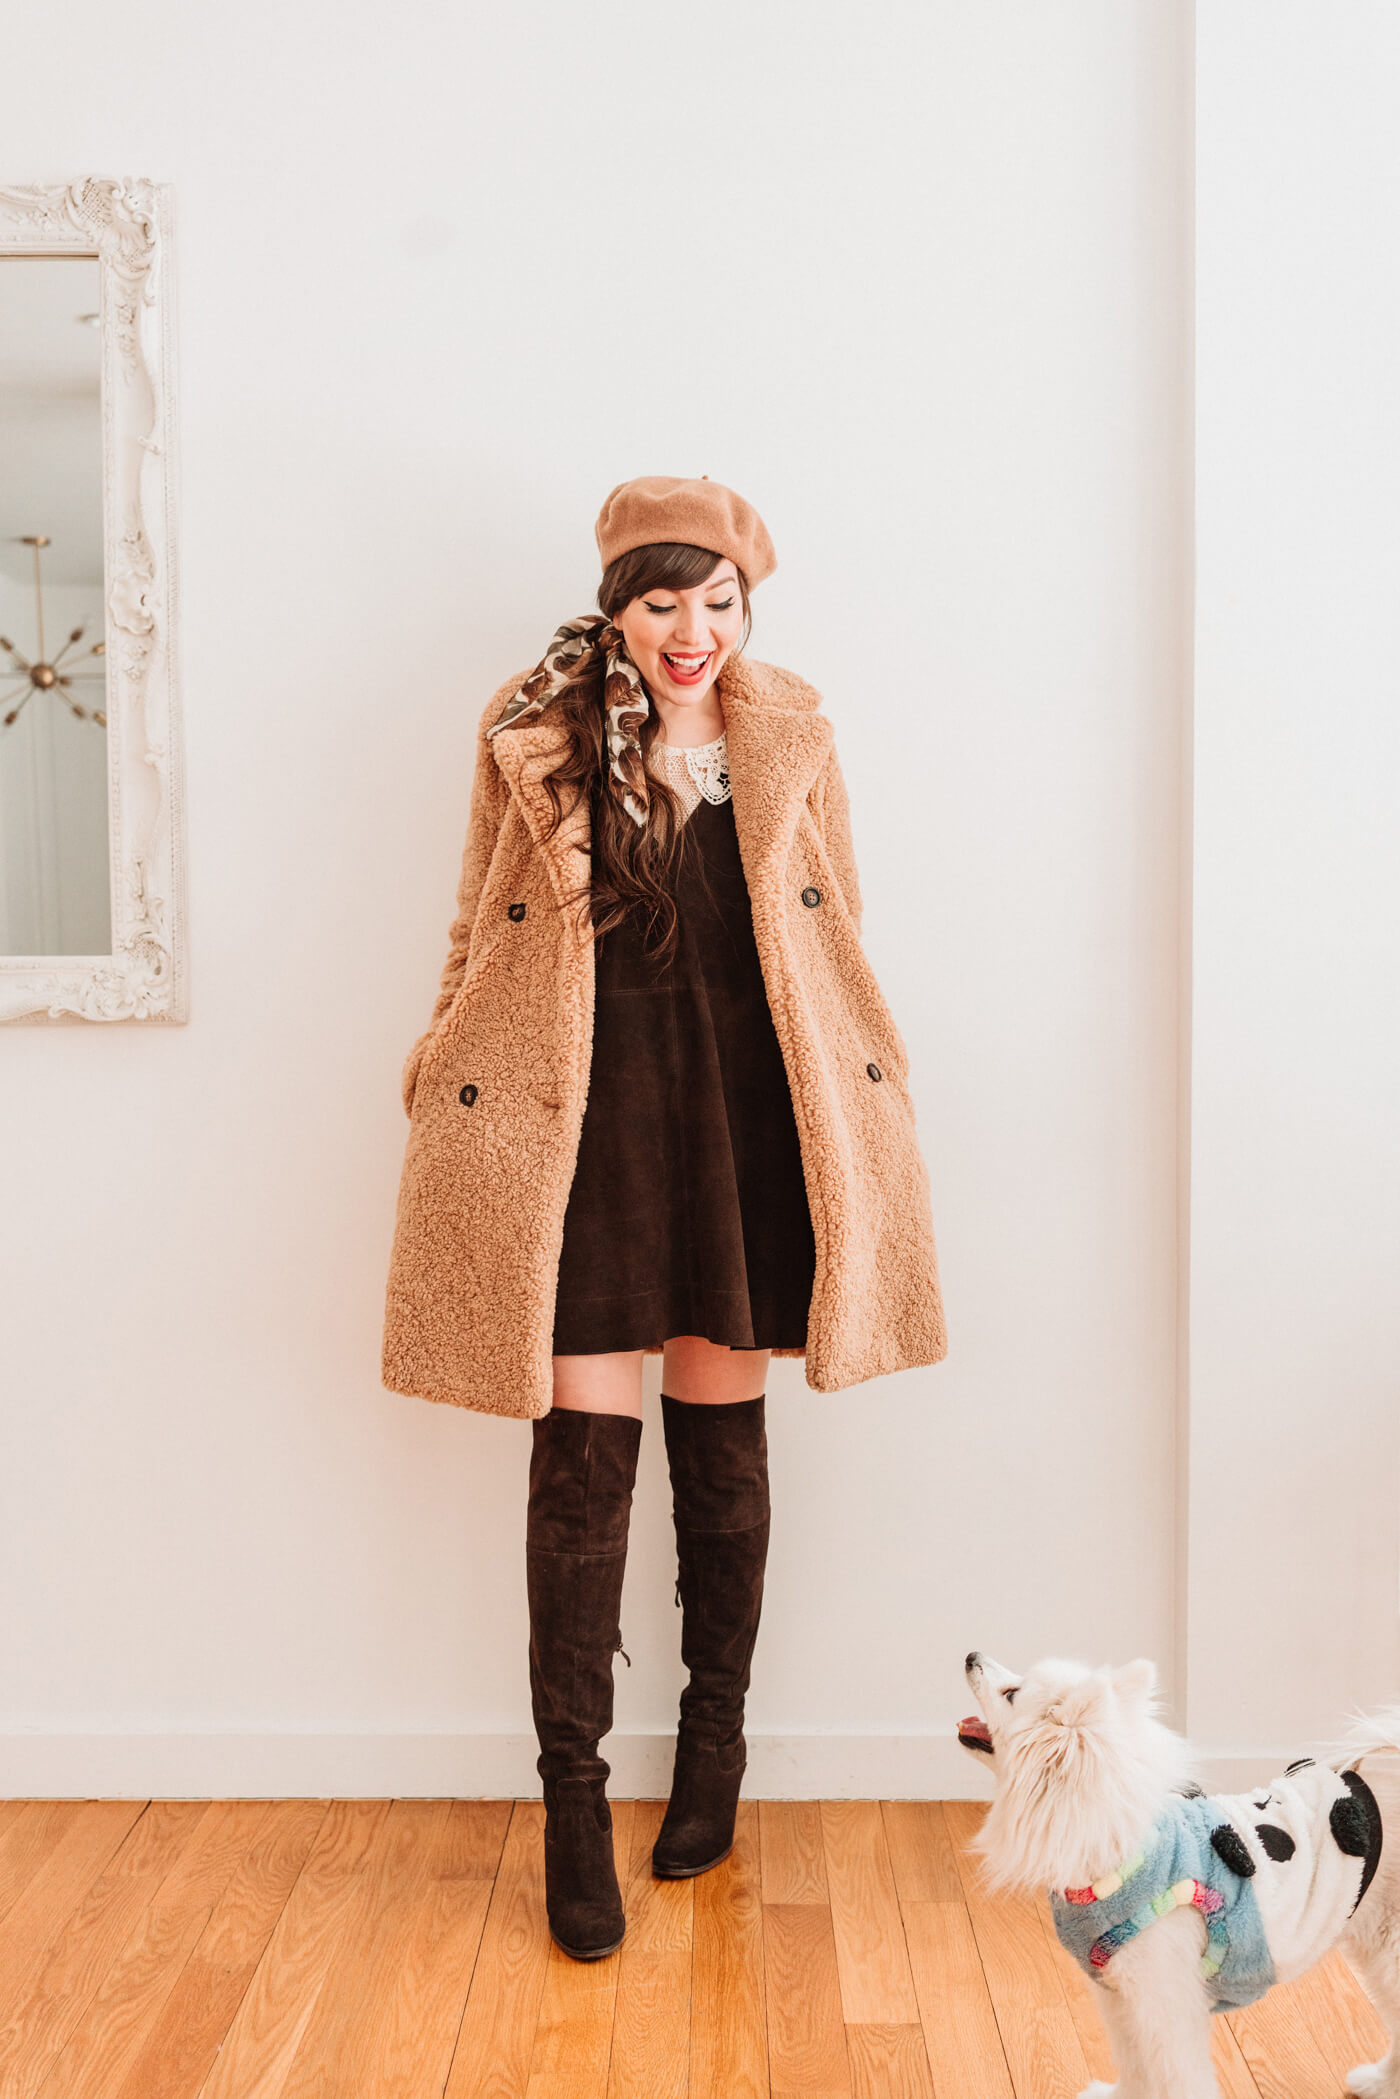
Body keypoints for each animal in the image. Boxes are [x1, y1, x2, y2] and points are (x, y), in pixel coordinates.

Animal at [957, 1654, 1400, 2099]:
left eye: (1010, 1694)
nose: (971, 1656)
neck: (1113, 1851)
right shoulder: (1121, 1999)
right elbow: (1133, 2067)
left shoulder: (1167, 2008)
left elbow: (1178, 2079)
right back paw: (1377, 2083)